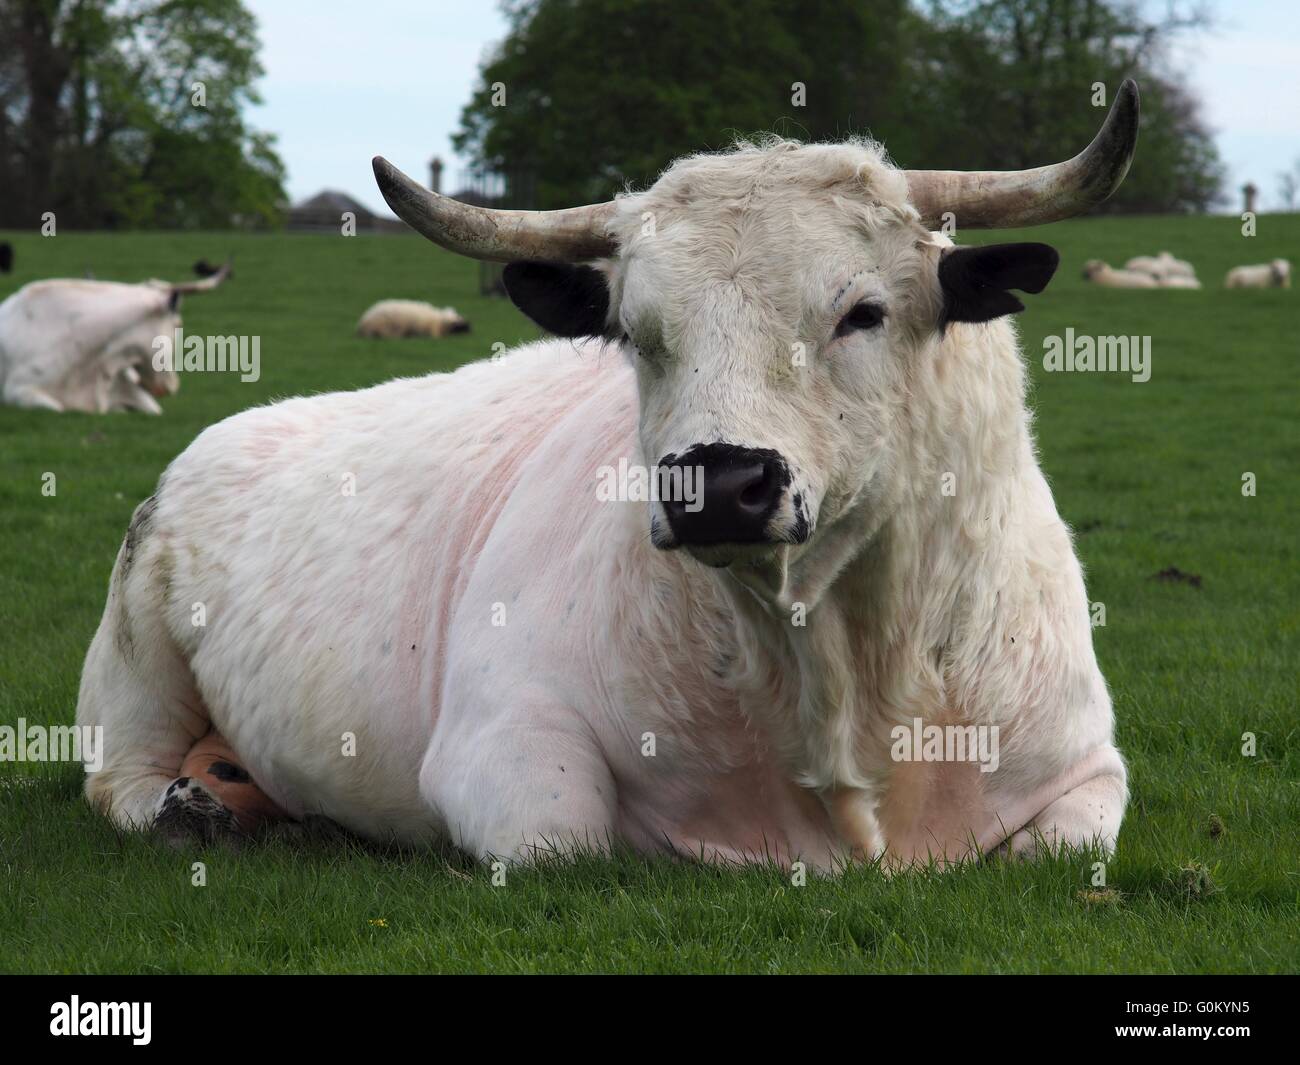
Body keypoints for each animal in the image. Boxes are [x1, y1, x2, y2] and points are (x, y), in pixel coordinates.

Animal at [76, 81, 1144, 868]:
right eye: (635, 330)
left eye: (863, 312)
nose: (717, 482)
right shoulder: (499, 741)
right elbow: (566, 838)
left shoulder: (1086, 771)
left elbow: (1061, 848)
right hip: (130, 670)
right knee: (121, 780)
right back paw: (192, 809)